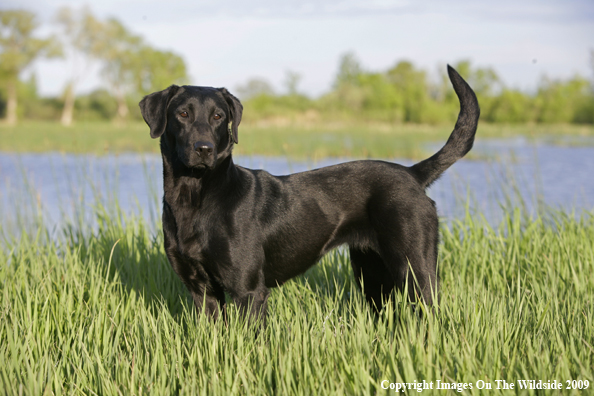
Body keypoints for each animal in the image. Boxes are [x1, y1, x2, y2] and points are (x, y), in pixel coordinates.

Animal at [139, 66, 476, 324]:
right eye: (183, 114)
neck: (195, 196)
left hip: (415, 268)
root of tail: (412, 173)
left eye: (219, 116)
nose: (204, 148)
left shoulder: (248, 290)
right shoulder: (202, 289)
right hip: (371, 274)